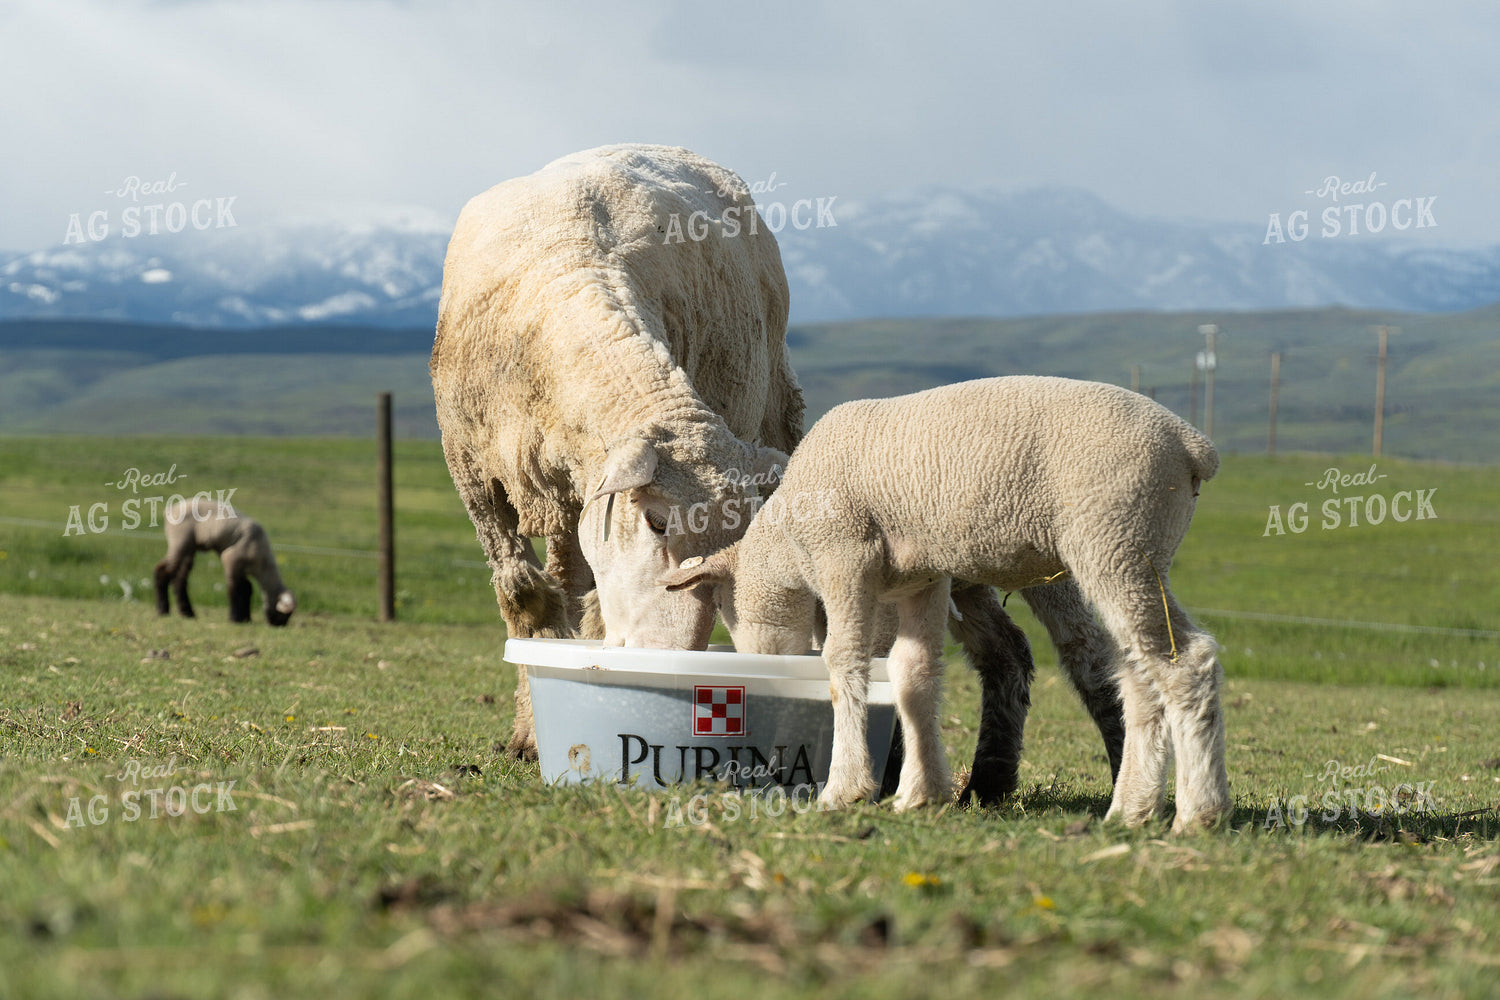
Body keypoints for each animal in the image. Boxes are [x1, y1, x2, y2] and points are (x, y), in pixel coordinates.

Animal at [154, 500, 295, 627]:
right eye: (285, 615)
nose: (279, 625)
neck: (262, 565)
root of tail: (170, 509)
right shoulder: (231, 559)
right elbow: (234, 588)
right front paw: (234, 618)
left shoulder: (242, 569)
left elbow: (247, 588)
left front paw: (246, 618)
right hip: (179, 540)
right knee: (162, 571)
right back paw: (163, 610)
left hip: (190, 547)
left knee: (179, 579)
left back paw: (188, 613)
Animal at [431, 144, 803, 759]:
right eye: (655, 522)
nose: (666, 655)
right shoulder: (472, 472)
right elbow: (525, 595)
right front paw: (528, 734)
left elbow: (593, 612)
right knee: (565, 579)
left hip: (772, 400)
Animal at [660, 375, 1227, 832]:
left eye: (726, 612)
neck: (790, 542)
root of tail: (1193, 445)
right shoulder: (921, 578)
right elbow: (913, 674)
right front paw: (921, 793)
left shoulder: (845, 554)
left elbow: (846, 663)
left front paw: (845, 789)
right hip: (1123, 552)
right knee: (1137, 671)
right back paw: (1132, 809)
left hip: (1117, 541)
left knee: (1183, 659)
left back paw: (1200, 812)